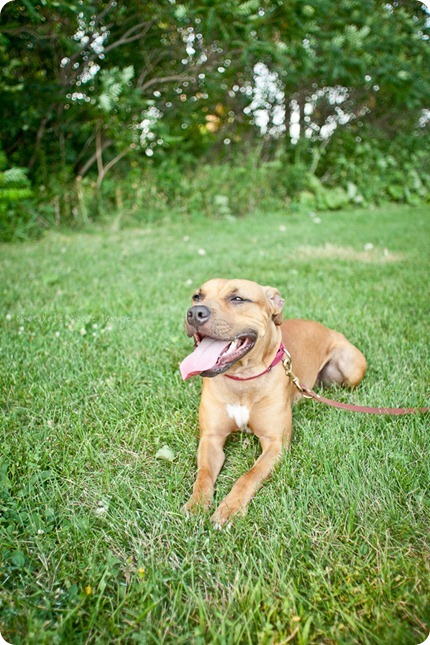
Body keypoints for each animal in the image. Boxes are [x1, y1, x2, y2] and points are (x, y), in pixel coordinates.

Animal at [178, 276, 366, 524]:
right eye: (197, 296)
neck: (243, 380)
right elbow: (204, 474)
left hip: (350, 367)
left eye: (238, 298)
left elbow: (249, 475)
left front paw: (230, 509)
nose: (195, 312)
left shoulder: (275, 444)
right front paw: (197, 504)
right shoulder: (211, 439)